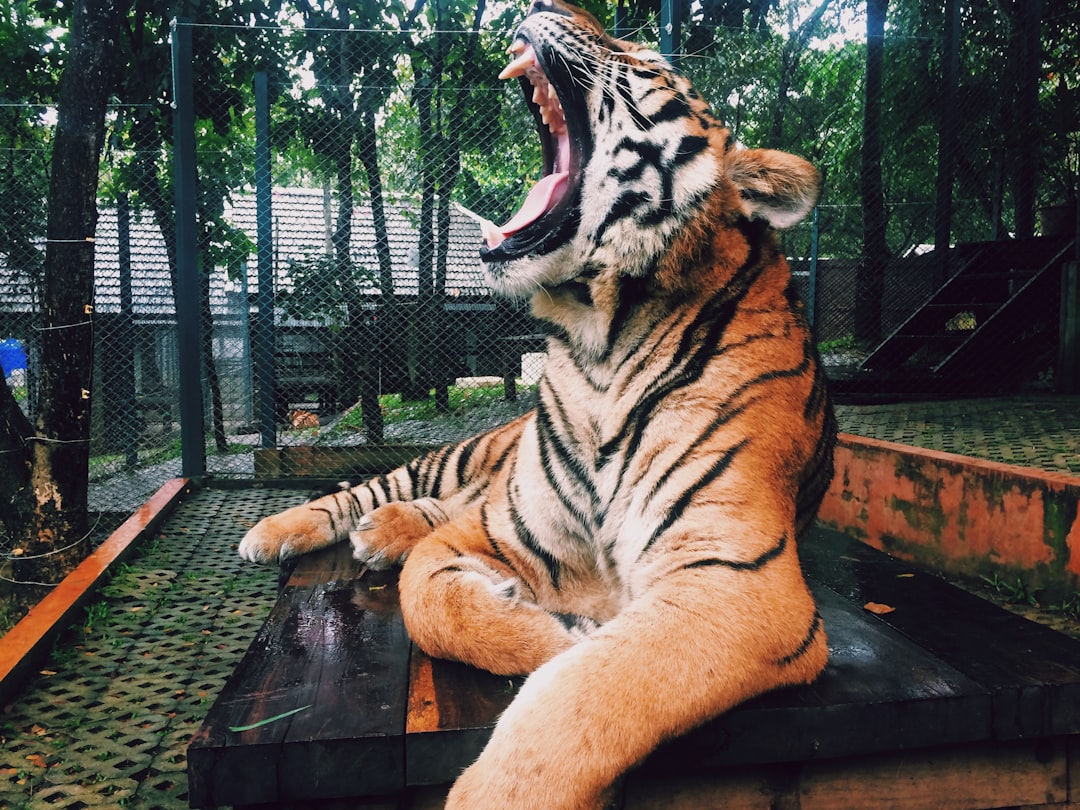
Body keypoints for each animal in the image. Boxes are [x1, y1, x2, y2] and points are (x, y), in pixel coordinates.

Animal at [243, 3, 833, 807]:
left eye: (646, 59)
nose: (554, 8)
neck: (598, 346)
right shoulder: (501, 528)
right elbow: (429, 600)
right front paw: (555, 633)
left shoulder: (737, 581)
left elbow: (593, 686)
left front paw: (568, 657)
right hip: (458, 459)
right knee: (368, 491)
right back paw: (279, 532)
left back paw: (381, 534)